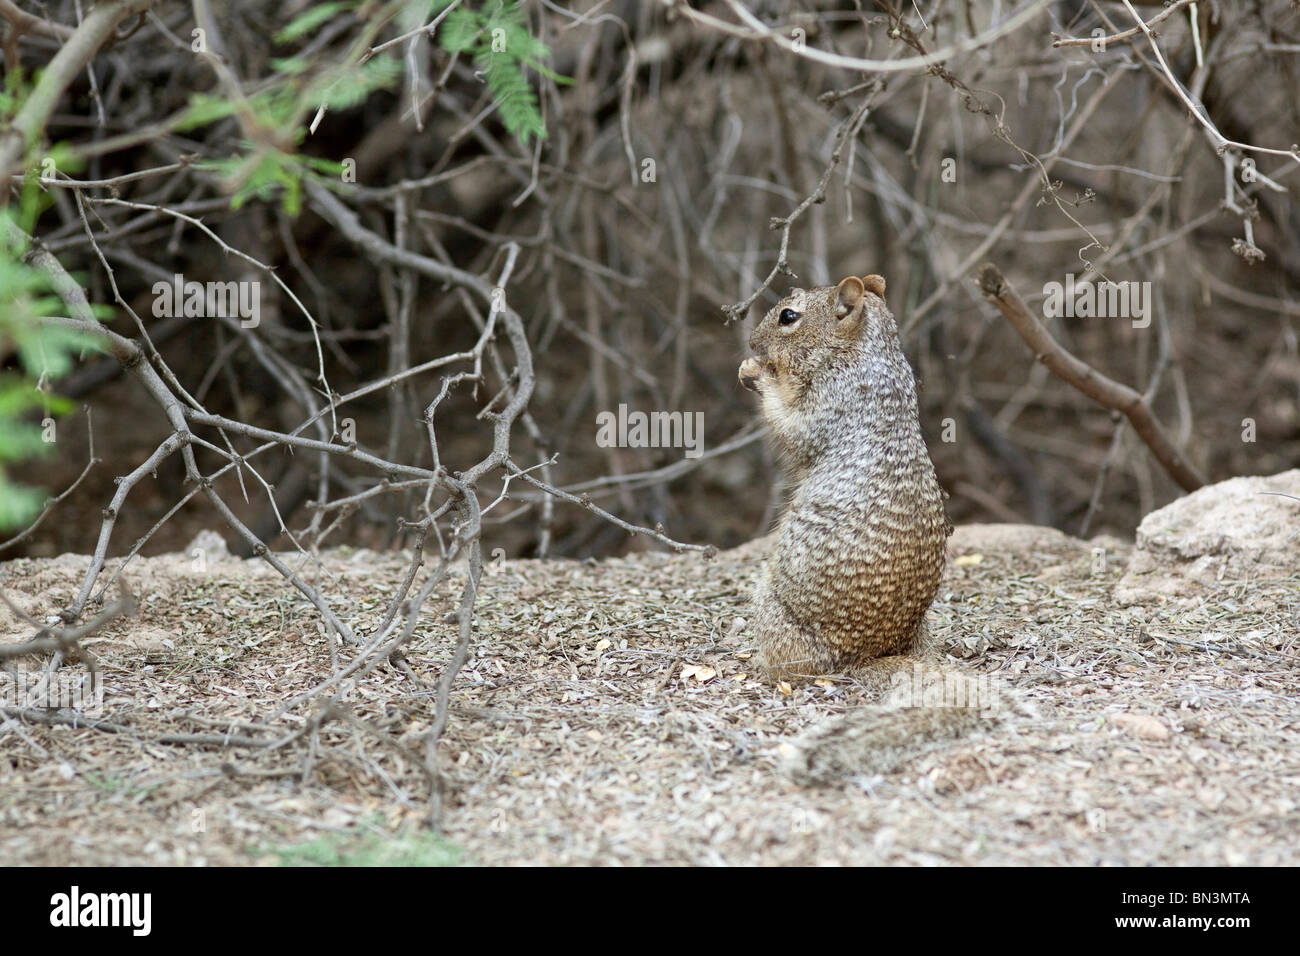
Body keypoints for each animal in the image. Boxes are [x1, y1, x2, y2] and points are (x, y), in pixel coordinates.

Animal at [743, 273, 993, 780]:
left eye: (788, 317)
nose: (753, 343)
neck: (866, 357)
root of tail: (867, 655)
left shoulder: (828, 405)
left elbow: (789, 425)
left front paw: (756, 374)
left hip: (772, 610)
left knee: (792, 670)